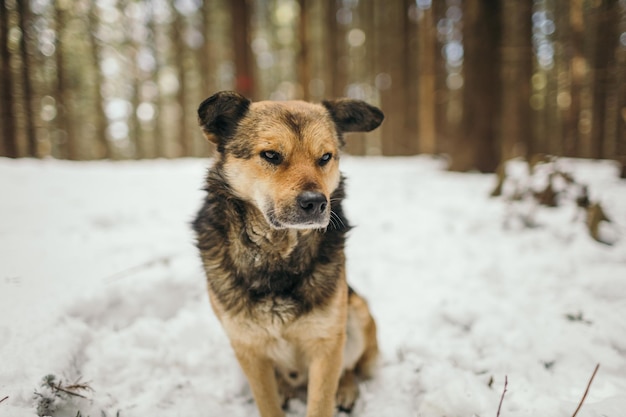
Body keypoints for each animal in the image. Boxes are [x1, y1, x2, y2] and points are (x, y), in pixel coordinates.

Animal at [193, 92, 382, 416]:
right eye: (271, 155)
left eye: (325, 157)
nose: (316, 203)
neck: (276, 255)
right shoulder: (248, 347)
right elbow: (267, 403)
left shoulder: (326, 343)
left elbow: (321, 403)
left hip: (356, 312)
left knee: (349, 369)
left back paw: (345, 390)